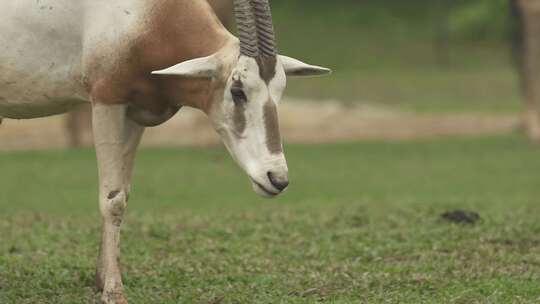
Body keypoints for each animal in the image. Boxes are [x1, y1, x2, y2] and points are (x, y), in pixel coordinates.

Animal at [0, 0, 332, 302]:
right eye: (237, 90)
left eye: (280, 90)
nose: (276, 177)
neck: (146, 14)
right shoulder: (107, 100)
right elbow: (111, 199)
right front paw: (113, 291)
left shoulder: (135, 112)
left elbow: (124, 193)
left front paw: (100, 280)